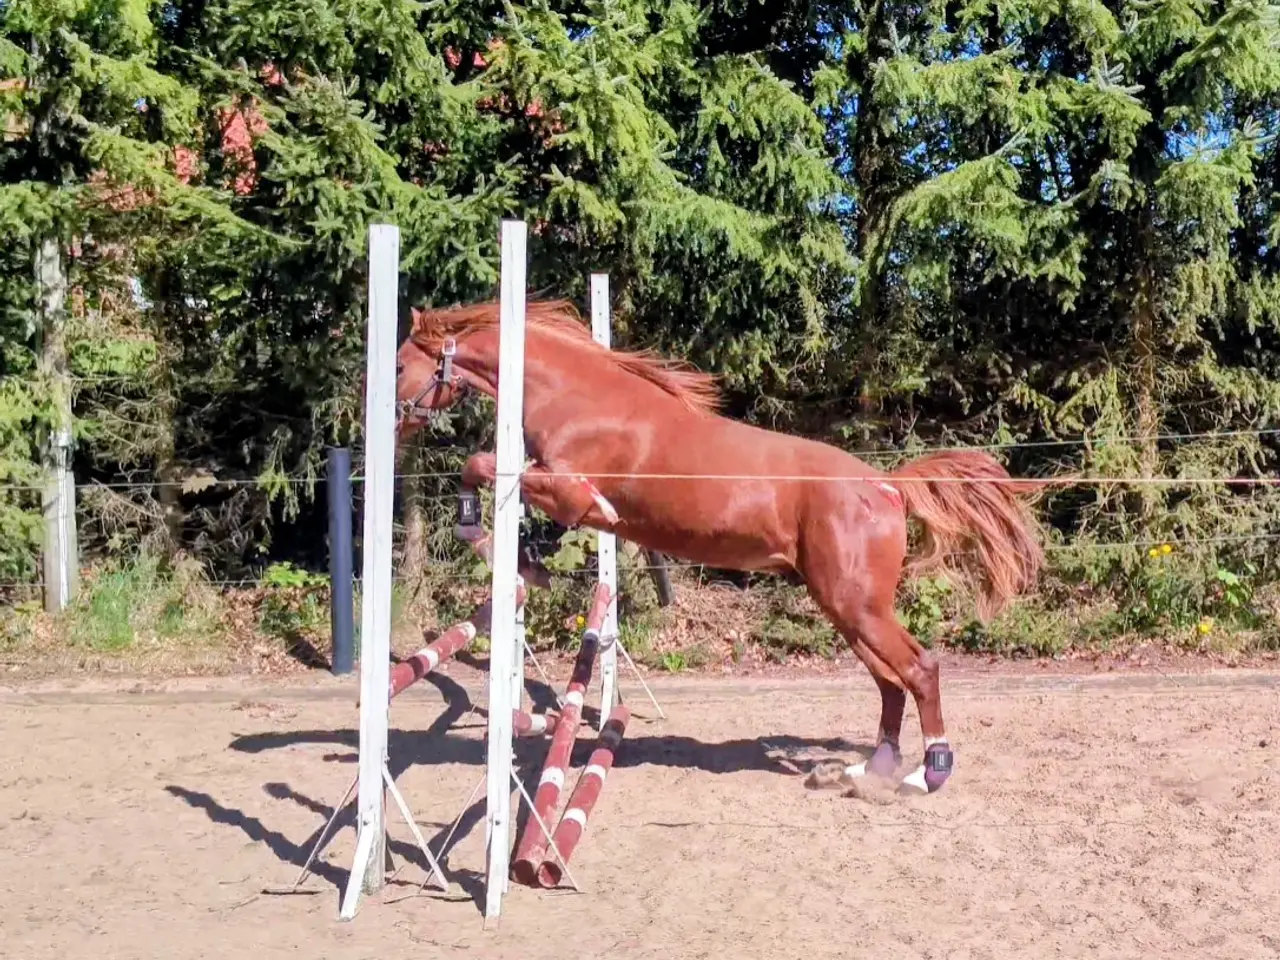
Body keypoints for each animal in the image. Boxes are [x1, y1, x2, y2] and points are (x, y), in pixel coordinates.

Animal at [394, 298, 1043, 794]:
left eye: (399, 363)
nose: (391, 420)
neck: (581, 398)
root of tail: (886, 486)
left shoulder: (566, 485)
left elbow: (490, 468)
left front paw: (488, 537)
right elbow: (490, 476)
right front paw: (518, 553)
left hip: (857, 605)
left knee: (920, 668)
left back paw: (926, 775)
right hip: (847, 609)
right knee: (890, 680)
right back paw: (869, 770)